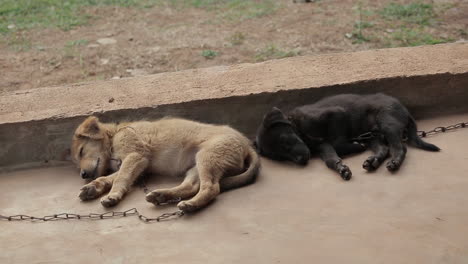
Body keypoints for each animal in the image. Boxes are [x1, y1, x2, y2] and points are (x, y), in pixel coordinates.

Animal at [71, 116, 260, 211]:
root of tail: (247, 145)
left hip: (208, 157)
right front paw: (93, 187)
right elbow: (107, 178)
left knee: (211, 188)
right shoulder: (139, 165)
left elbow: (119, 179)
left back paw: (191, 205)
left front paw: (112, 196)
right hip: (196, 166)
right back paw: (162, 195)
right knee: (191, 186)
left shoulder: (135, 157)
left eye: (81, 151)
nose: (83, 175)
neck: (116, 133)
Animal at [254, 94, 440, 180]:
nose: (301, 161)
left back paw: (393, 163)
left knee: (399, 147)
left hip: (387, 123)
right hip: (373, 136)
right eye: (279, 157)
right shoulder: (323, 147)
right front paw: (341, 168)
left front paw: (353, 146)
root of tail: (405, 110)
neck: (299, 128)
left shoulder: (336, 114)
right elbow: (330, 159)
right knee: (384, 148)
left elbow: (337, 141)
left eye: (286, 141)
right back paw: (372, 161)